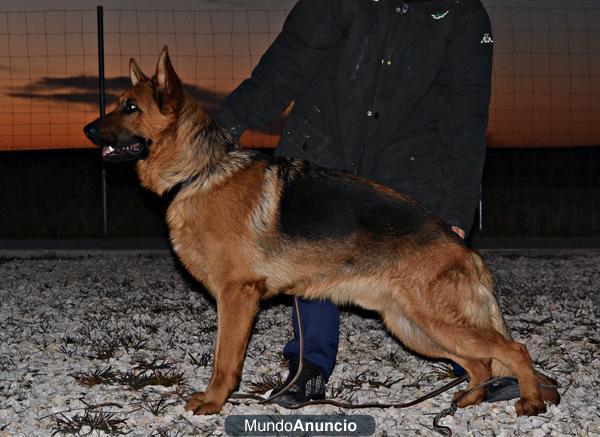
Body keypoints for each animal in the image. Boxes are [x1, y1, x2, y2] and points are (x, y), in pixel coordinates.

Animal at [83, 46, 556, 416]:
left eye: (130, 107)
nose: (87, 129)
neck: (200, 171)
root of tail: (462, 247)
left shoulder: (237, 296)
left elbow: (224, 360)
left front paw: (214, 402)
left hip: (433, 321)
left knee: (513, 350)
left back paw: (529, 400)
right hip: (413, 326)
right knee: (479, 363)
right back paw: (470, 399)